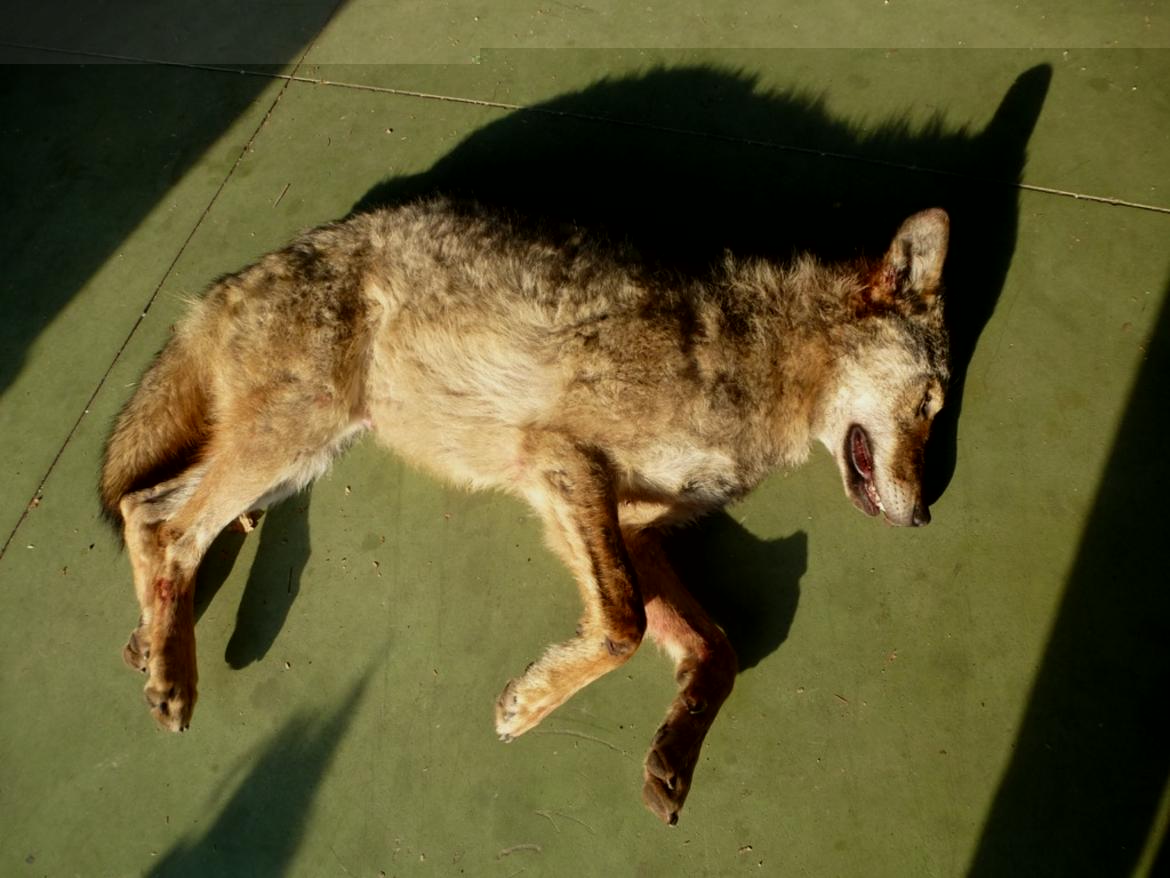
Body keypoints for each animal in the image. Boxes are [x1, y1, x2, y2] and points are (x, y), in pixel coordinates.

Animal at [100, 196, 950, 824]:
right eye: (931, 406)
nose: (923, 519)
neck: (765, 360)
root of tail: (228, 281)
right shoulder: (564, 464)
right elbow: (621, 629)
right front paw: (531, 704)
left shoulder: (634, 531)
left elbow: (719, 651)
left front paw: (674, 758)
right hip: (300, 435)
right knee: (166, 524)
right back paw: (171, 674)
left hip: (308, 452)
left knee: (152, 507)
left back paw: (151, 641)